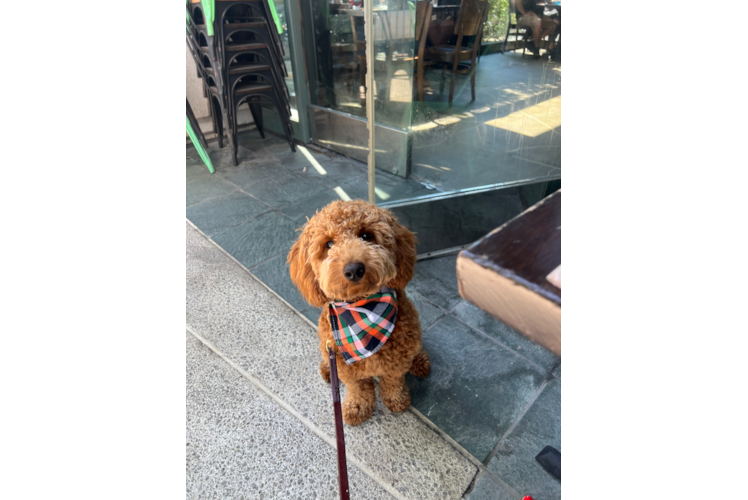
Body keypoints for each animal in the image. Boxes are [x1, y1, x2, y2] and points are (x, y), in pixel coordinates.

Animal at [286, 199, 430, 426]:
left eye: (366, 235)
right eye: (328, 244)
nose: (354, 269)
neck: (362, 310)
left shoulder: (397, 362)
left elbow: (393, 381)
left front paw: (396, 400)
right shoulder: (347, 367)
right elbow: (358, 388)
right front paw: (358, 408)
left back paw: (420, 361)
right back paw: (327, 370)